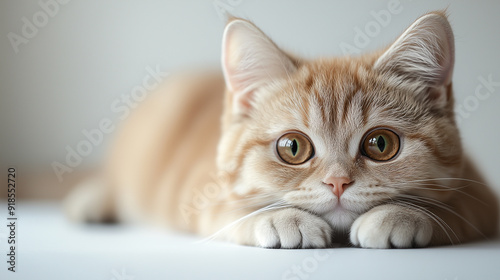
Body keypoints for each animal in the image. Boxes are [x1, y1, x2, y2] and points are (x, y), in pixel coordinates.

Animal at [65, 10, 496, 248]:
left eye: (380, 143)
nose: (338, 183)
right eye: (293, 148)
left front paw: (400, 216)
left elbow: (455, 209)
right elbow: (231, 212)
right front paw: (281, 219)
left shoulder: (483, 197)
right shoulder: (199, 194)